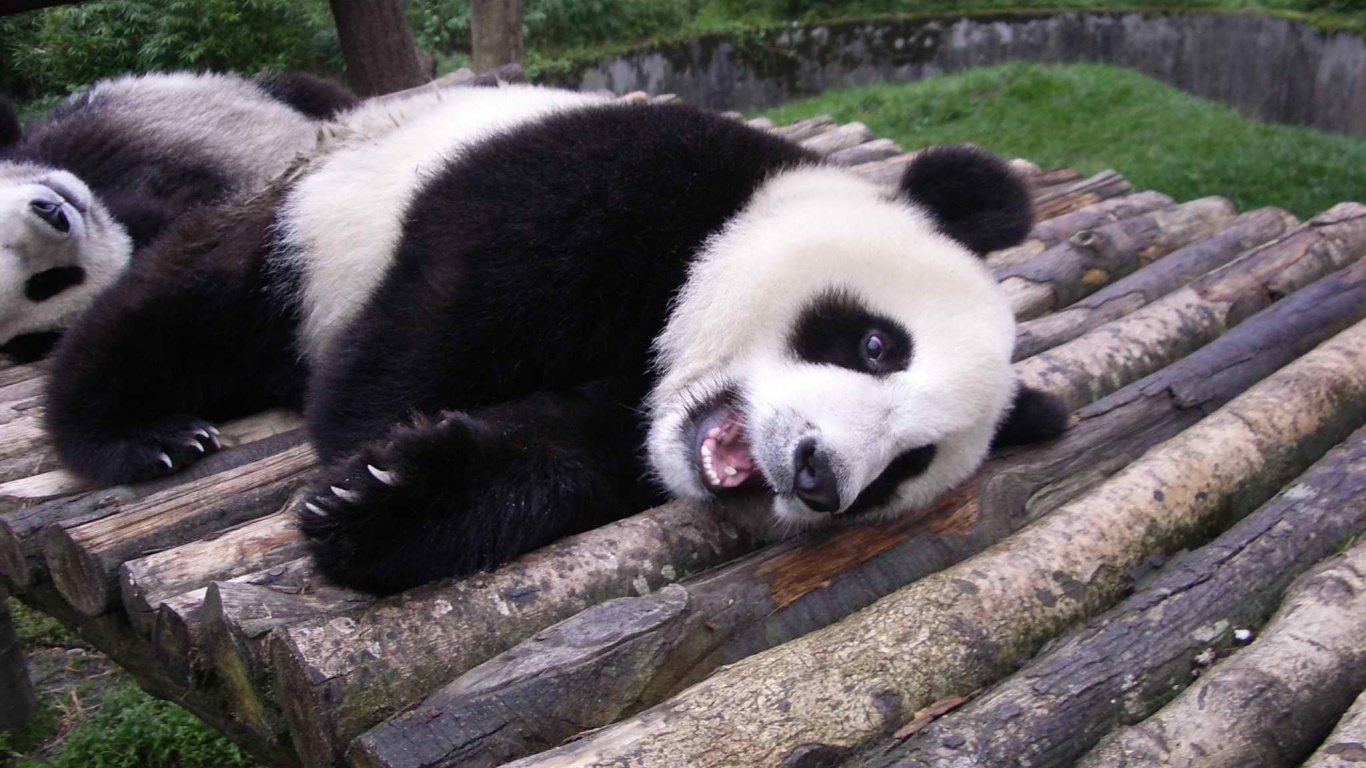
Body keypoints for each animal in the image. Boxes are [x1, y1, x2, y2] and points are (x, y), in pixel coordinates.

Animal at [46, 84, 1069, 595]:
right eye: (876, 345)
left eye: (906, 466)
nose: (819, 477)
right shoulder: (622, 178)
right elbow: (435, 318)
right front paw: (362, 445)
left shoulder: (624, 428)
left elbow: (553, 459)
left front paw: (391, 500)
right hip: (309, 212)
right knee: (194, 307)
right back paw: (143, 434)